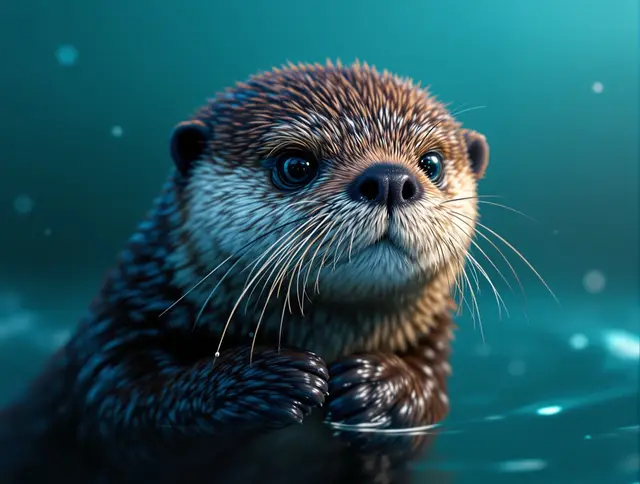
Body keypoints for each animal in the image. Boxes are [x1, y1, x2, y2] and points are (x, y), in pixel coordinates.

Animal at [0, 60, 489, 483]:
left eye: (431, 163)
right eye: (296, 164)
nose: (389, 178)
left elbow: (429, 398)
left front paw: (382, 389)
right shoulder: (112, 344)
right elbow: (128, 411)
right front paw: (270, 379)